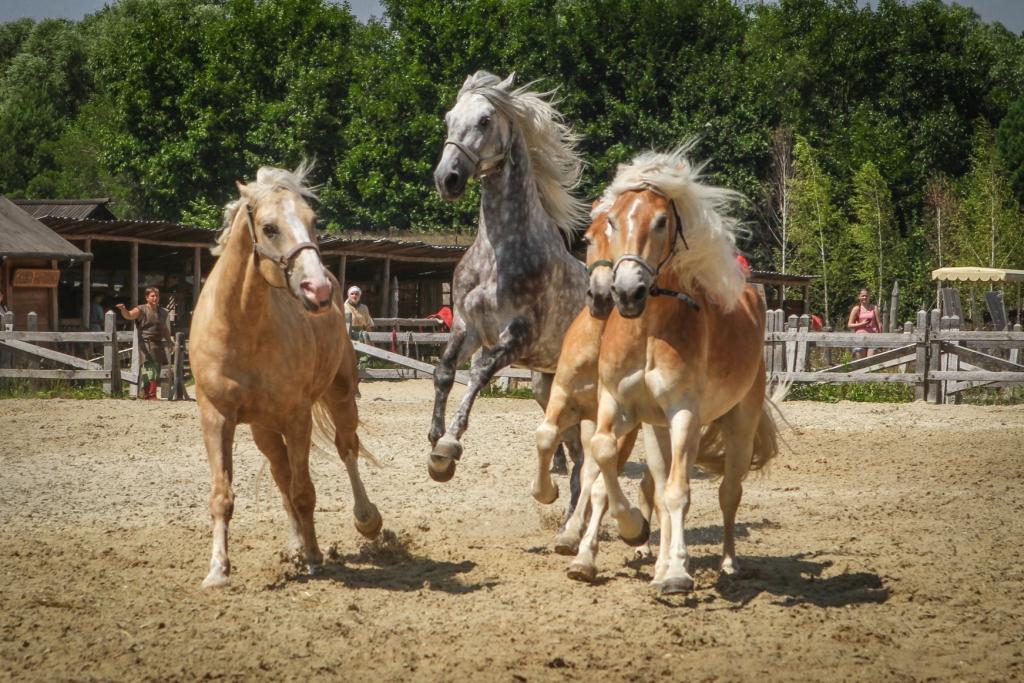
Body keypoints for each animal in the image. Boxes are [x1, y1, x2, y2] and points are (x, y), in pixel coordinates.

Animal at [190, 165, 382, 589]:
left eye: (313, 222)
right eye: (269, 227)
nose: (318, 290)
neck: (242, 327)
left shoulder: (297, 417)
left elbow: (304, 491)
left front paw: (314, 557)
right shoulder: (216, 417)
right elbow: (223, 494)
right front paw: (218, 570)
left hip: (340, 397)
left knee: (347, 449)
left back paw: (366, 520)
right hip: (263, 428)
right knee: (281, 473)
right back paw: (295, 542)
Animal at [581, 149, 778, 593]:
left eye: (661, 221)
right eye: (612, 221)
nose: (626, 292)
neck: (648, 331)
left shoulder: (684, 413)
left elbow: (679, 494)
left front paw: (675, 573)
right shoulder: (616, 404)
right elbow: (604, 455)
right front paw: (632, 532)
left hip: (737, 426)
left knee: (727, 493)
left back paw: (727, 564)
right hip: (658, 431)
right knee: (660, 484)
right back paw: (659, 562)